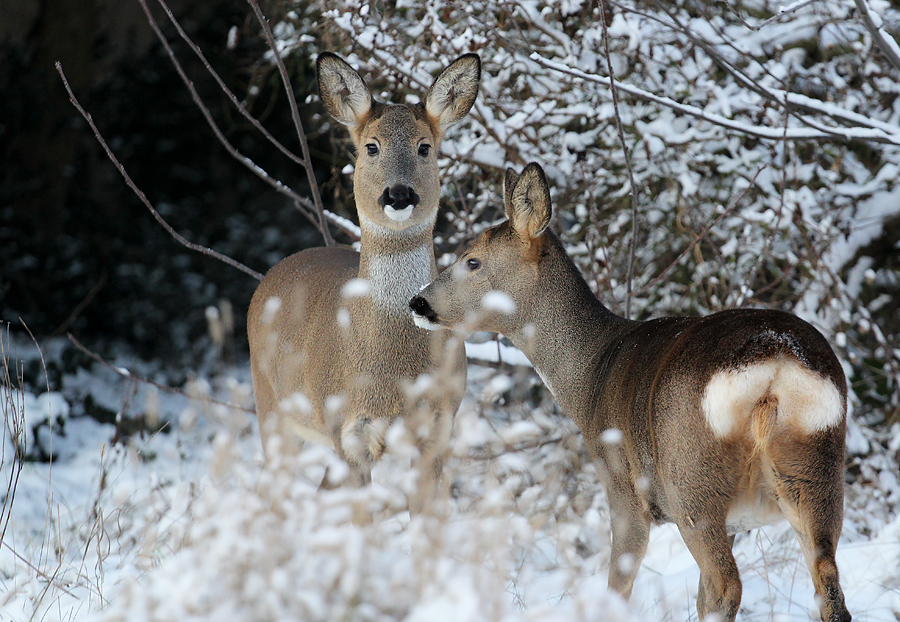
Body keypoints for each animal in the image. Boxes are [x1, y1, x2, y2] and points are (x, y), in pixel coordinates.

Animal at [248, 51, 478, 504]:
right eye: (372, 146)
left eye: (425, 147)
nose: (399, 195)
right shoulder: (349, 435)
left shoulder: (437, 431)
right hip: (269, 405)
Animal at [412, 163, 856, 620]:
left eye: (472, 261)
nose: (418, 303)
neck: (591, 374)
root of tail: (777, 359)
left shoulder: (622, 486)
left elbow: (619, 583)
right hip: (816, 467)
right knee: (825, 579)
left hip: (689, 480)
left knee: (726, 583)